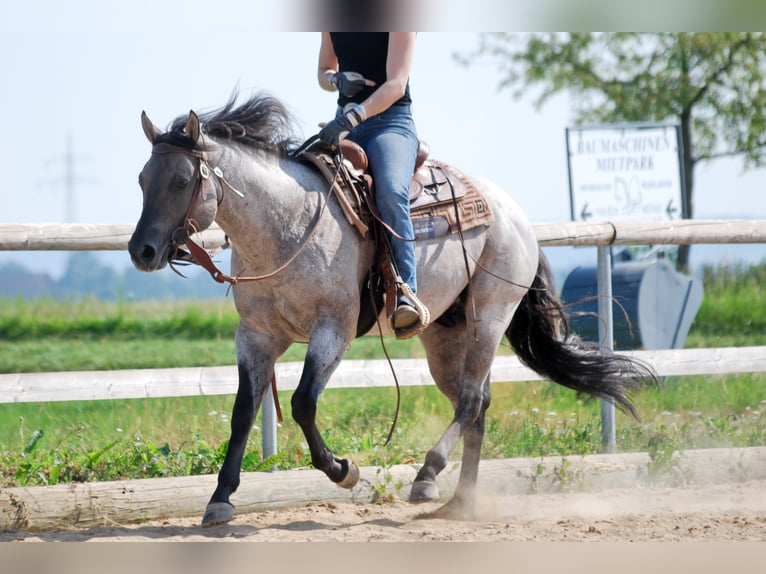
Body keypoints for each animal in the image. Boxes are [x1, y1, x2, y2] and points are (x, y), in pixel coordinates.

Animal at [129, 93, 657, 526]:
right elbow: (243, 412)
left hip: (490, 315)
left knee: (470, 400)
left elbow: (302, 404)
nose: (142, 250)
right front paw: (220, 499)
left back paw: (426, 476)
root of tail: (515, 214)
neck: (287, 226)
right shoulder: (257, 336)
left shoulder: (333, 331)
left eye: (181, 179)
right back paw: (460, 501)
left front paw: (344, 470)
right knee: (477, 403)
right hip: (444, 335)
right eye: (141, 178)